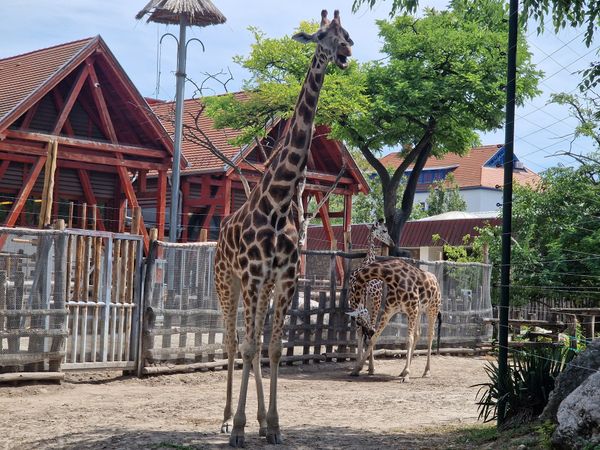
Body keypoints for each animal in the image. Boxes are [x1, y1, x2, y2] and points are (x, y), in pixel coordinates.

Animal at [216, 10, 354, 446]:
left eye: (346, 35)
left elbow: (273, 348)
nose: (344, 53)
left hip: (258, 287)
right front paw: (239, 428)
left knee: (255, 342)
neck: (277, 202)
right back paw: (225, 418)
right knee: (232, 341)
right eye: (321, 35)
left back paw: (258, 421)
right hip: (227, 281)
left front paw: (273, 425)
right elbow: (247, 347)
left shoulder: (285, 278)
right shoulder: (252, 275)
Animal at [346, 220, 394, 374]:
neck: (369, 259)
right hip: (374, 302)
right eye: (385, 230)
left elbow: (361, 332)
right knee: (372, 330)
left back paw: (357, 366)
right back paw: (370, 367)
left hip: (355, 303)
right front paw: (369, 366)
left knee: (360, 330)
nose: (391, 243)